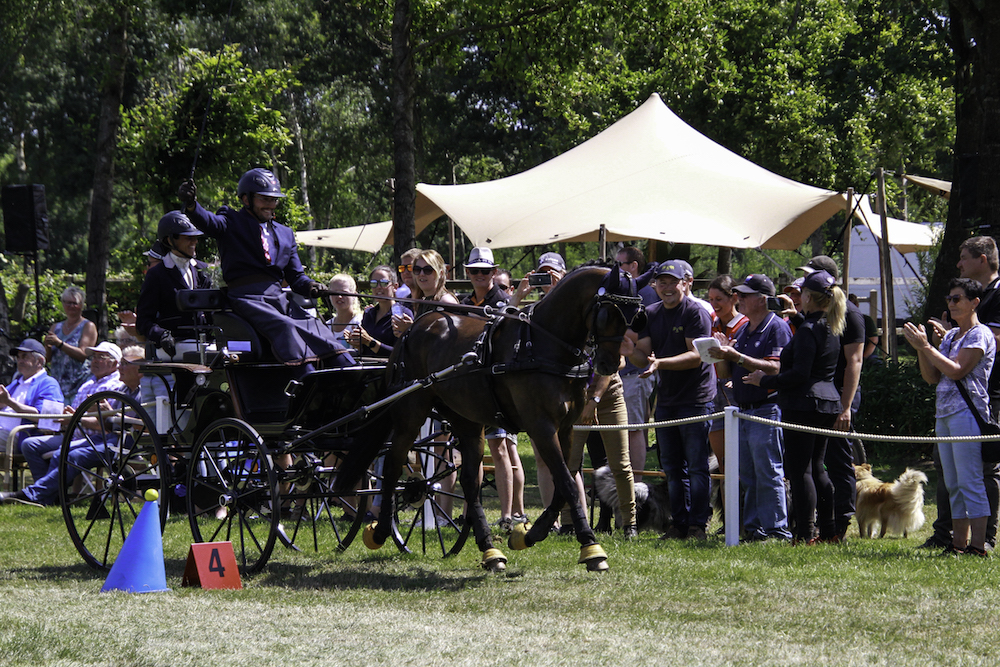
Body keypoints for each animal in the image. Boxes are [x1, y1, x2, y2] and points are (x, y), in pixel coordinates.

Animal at [334, 265, 645, 571]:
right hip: (411, 413)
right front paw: (591, 547)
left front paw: (530, 534)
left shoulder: (567, 428)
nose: (609, 364)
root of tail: (414, 328)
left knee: (470, 480)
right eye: (609, 313)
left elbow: (563, 483)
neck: (541, 345)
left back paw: (489, 549)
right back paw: (380, 531)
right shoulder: (541, 427)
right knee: (393, 465)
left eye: (634, 317)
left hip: (466, 420)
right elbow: (567, 483)